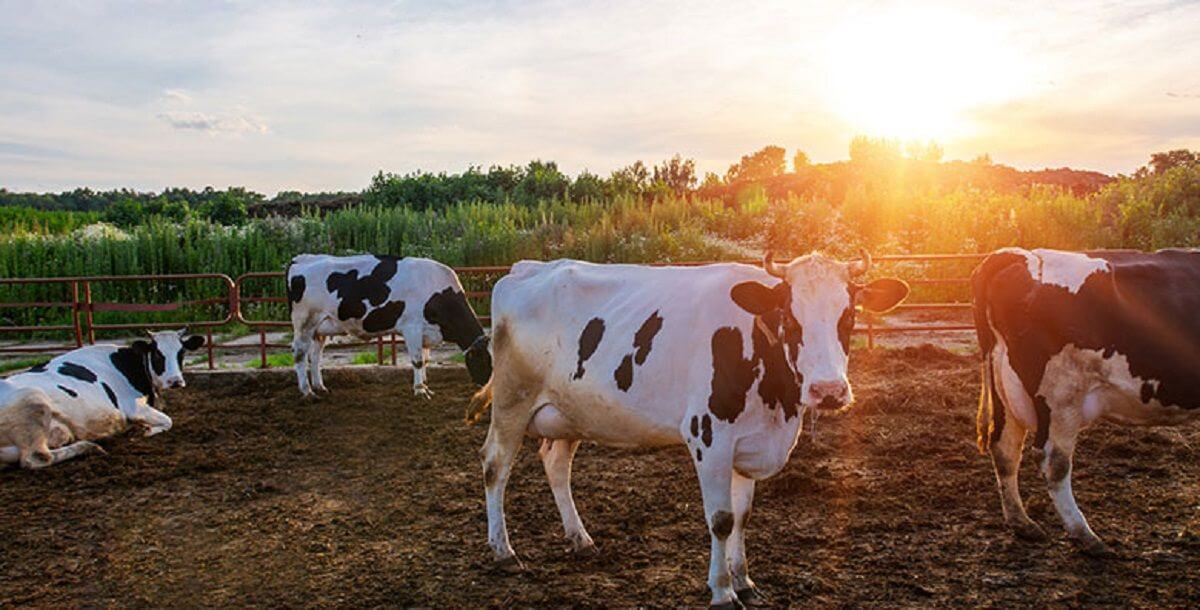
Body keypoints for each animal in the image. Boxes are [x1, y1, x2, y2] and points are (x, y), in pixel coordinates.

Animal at [1, 329, 206, 468]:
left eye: (181, 352)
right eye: (157, 353)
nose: (175, 381)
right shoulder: (133, 407)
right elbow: (168, 421)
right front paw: (145, 430)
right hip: (34, 400)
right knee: (36, 458)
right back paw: (87, 447)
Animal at [285, 254, 492, 398]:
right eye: (485, 360)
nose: (488, 387)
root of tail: (302, 258)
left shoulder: (426, 332)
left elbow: (425, 360)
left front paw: (425, 385)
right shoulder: (412, 328)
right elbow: (417, 361)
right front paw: (420, 391)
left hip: (320, 328)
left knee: (315, 356)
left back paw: (320, 386)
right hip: (304, 322)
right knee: (300, 354)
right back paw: (307, 392)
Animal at [469, 253, 909, 608]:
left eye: (849, 315)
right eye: (789, 317)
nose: (828, 390)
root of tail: (526, 268)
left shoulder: (748, 442)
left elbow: (743, 515)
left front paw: (745, 581)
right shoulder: (709, 437)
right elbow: (722, 519)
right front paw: (723, 592)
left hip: (571, 411)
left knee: (556, 464)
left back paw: (580, 539)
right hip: (512, 400)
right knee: (495, 465)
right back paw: (503, 551)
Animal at [973, 247, 1200, 556]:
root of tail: (1025, 255)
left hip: (1006, 391)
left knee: (1005, 449)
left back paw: (1023, 523)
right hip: (1061, 395)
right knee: (1053, 461)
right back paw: (1085, 535)